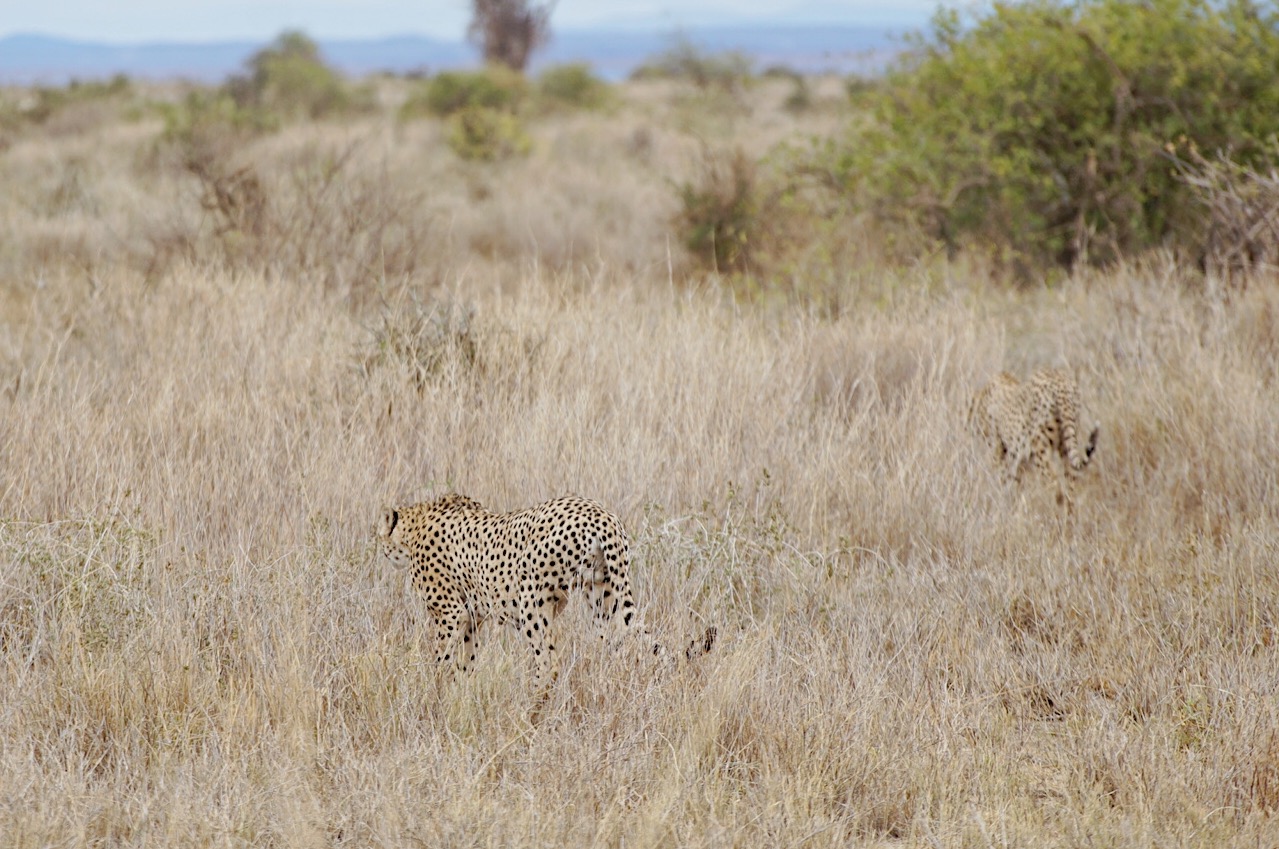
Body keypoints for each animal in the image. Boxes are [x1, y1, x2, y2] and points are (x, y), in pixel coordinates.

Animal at [378, 493, 721, 685]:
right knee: (623, 647)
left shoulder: (452, 613)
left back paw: (529, 714)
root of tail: (602, 515)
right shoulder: (473, 617)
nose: (380, 550)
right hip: (604, 597)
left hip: (531, 599)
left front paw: (436, 696)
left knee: (549, 662)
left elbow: (442, 660)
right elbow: (467, 659)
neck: (416, 523)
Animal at [966, 365, 1099, 503]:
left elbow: (1003, 481)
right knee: (1070, 488)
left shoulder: (1000, 452)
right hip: (1066, 443)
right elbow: (1017, 484)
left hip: (1039, 447)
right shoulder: (1017, 459)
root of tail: (1061, 383)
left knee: (1054, 485)